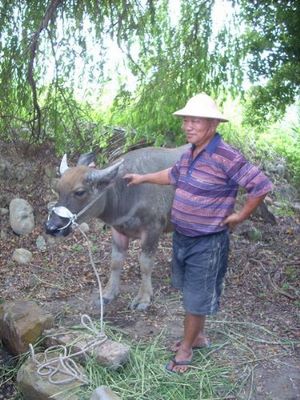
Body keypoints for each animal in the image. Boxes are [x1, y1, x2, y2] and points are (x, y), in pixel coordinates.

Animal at [44, 145, 188, 310]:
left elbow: (145, 264)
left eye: (80, 192)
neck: (127, 192)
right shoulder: (118, 230)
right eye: (58, 189)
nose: (51, 227)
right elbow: (115, 261)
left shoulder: (153, 229)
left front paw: (144, 297)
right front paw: (108, 294)